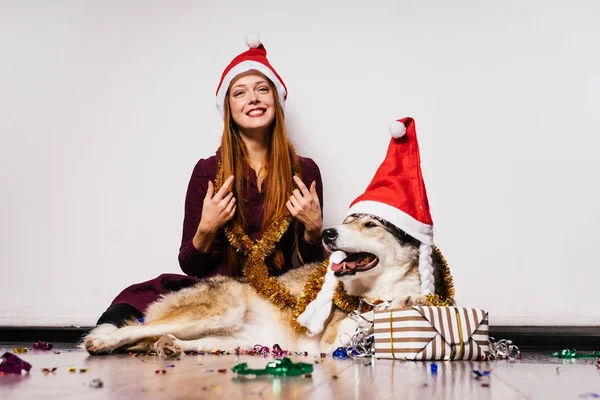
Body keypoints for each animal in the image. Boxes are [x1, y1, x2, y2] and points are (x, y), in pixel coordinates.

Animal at [82, 214, 446, 358]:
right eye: (346, 222)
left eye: (370, 224)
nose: (327, 233)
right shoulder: (333, 341)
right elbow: (372, 312)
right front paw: (396, 304)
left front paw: (412, 300)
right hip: (220, 311)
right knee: (133, 328)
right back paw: (101, 342)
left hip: (233, 340)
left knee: (169, 339)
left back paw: (170, 346)